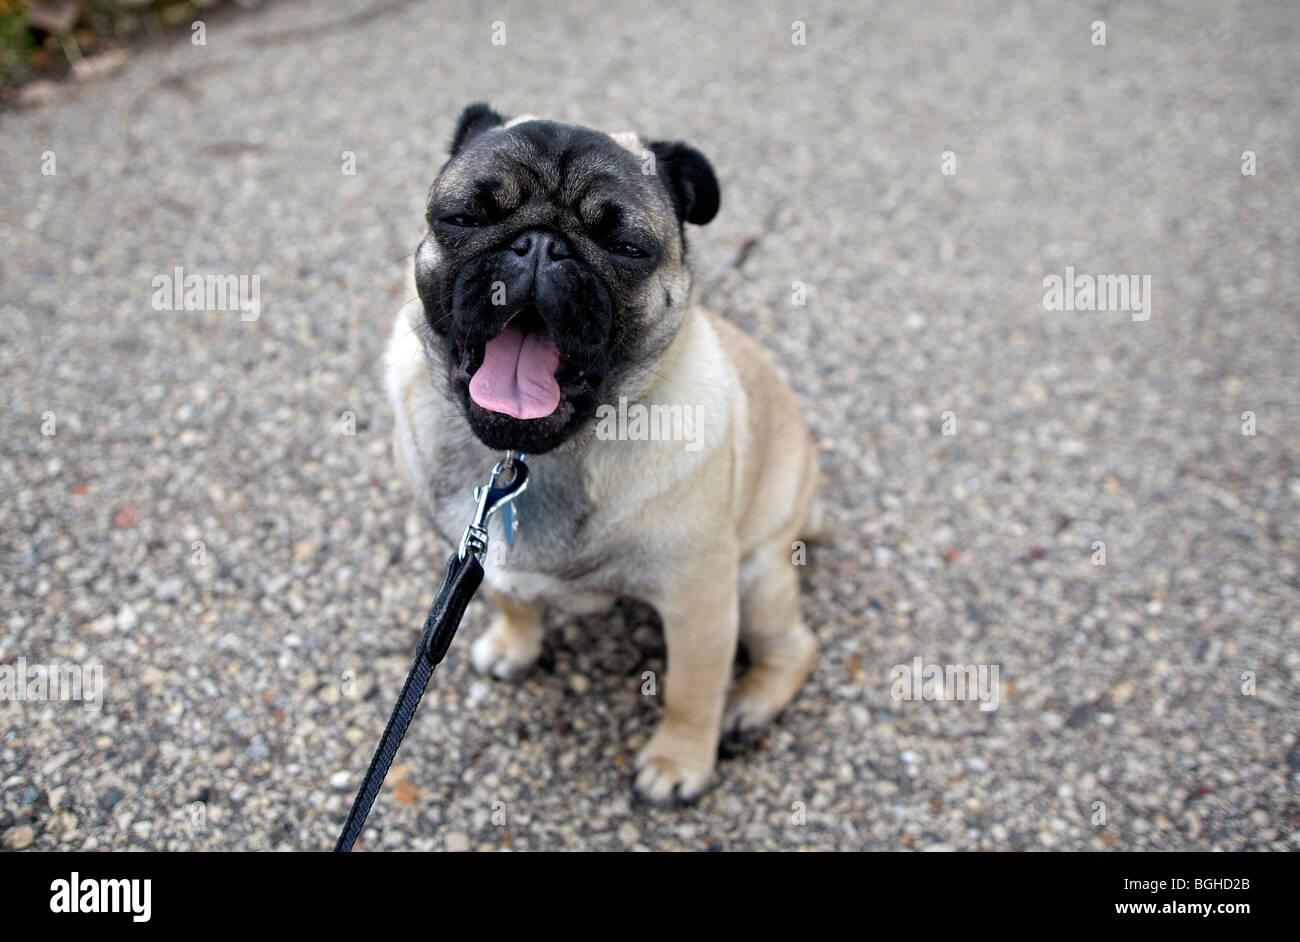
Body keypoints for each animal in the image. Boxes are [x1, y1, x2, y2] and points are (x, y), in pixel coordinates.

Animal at [379, 106, 816, 805]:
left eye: (627, 249)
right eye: (463, 218)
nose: (539, 245)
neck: (527, 458)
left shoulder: (699, 603)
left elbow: (692, 690)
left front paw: (678, 762)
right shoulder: (485, 559)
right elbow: (511, 599)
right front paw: (514, 646)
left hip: (759, 576)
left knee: (795, 647)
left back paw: (747, 708)